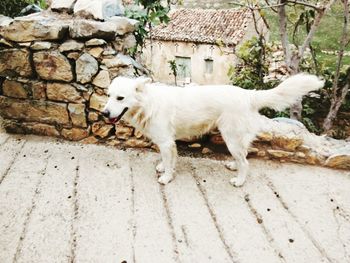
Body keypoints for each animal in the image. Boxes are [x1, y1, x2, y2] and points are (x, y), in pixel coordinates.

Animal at [102, 74, 324, 188]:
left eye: (120, 98)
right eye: (109, 95)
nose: (104, 113)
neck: (148, 103)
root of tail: (248, 95)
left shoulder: (166, 141)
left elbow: (168, 162)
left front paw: (166, 177)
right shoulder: (167, 142)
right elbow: (168, 159)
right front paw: (164, 167)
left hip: (230, 137)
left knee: (246, 162)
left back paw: (239, 180)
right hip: (235, 139)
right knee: (243, 156)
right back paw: (234, 166)